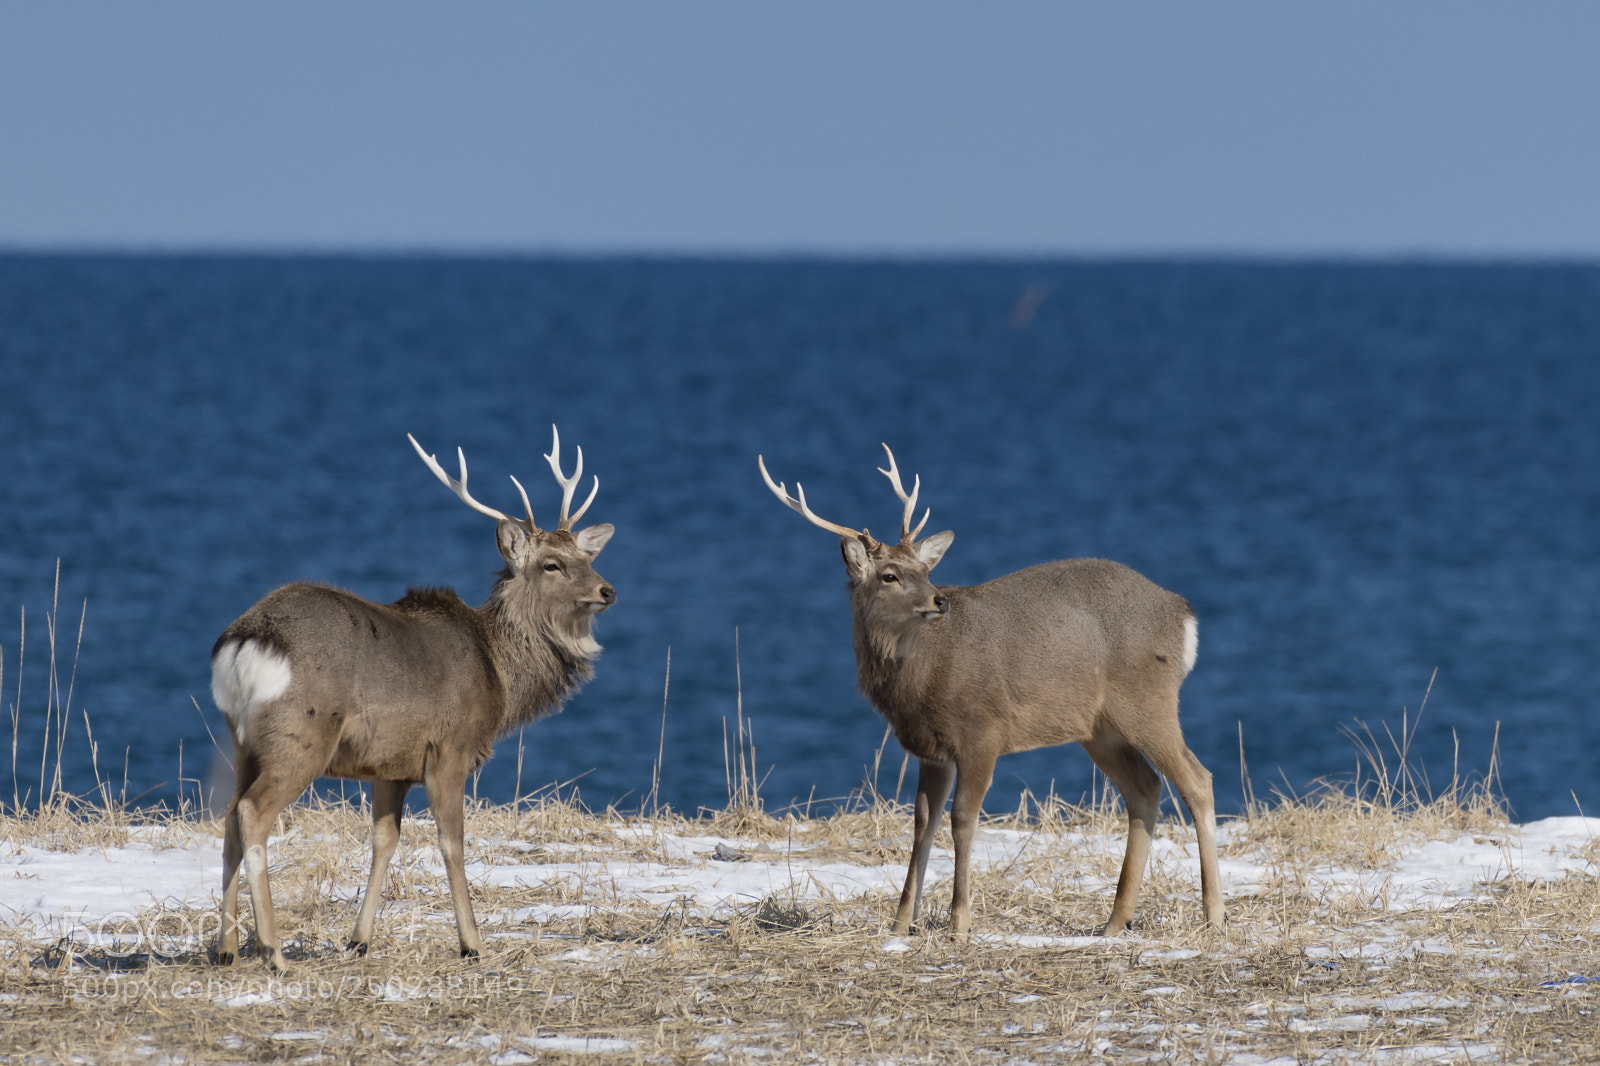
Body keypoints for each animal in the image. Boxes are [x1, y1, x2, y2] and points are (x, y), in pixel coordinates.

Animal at [211, 427, 616, 970]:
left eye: (588, 557)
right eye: (552, 564)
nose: (607, 590)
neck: (498, 671)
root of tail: (245, 641)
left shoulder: (391, 765)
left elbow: (384, 841)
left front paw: (359, 940)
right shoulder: (450, 749)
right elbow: (452, 842)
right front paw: (472, 943)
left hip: (240, 741)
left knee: (230, 816)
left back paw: (227, 948)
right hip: (301, 734)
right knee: (253, 813)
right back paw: (272, 951)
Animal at [758, 445, 1223, 940]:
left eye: (925, 569)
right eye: (889, 575)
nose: (939, 599)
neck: (918, 680)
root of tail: (1183, 613)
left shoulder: (983, 732)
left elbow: (963, 820)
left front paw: (959, 924)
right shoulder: (929, 750)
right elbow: (922, 823)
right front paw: (901, 926)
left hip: (1147, 700)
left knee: (1198, 781)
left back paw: (1213, 916)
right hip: (1099, 728)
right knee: (1146, 788)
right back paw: (1115, 921)